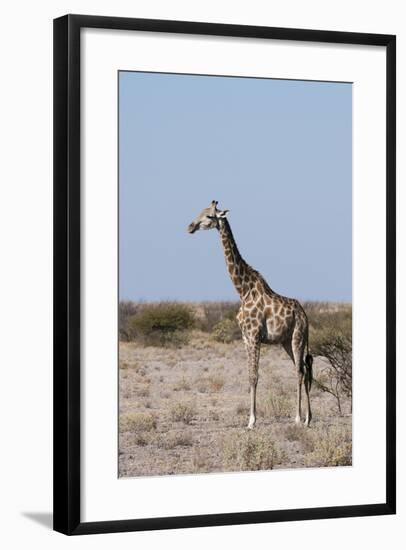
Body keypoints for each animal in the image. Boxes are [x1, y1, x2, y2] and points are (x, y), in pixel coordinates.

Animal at [188, 203, 314, 432]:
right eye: (199, 212)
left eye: (209, 216)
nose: (190, 227)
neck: (242, 290)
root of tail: (305, 315)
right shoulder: (245, 338)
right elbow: (249, 376)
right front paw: (250, 419)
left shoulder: (255, 336)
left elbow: (255, 376)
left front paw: (252, 421)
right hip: (285, 341)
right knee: (303, 369)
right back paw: (309, 418)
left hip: (297, 337)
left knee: (300, 371)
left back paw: (299, 418)